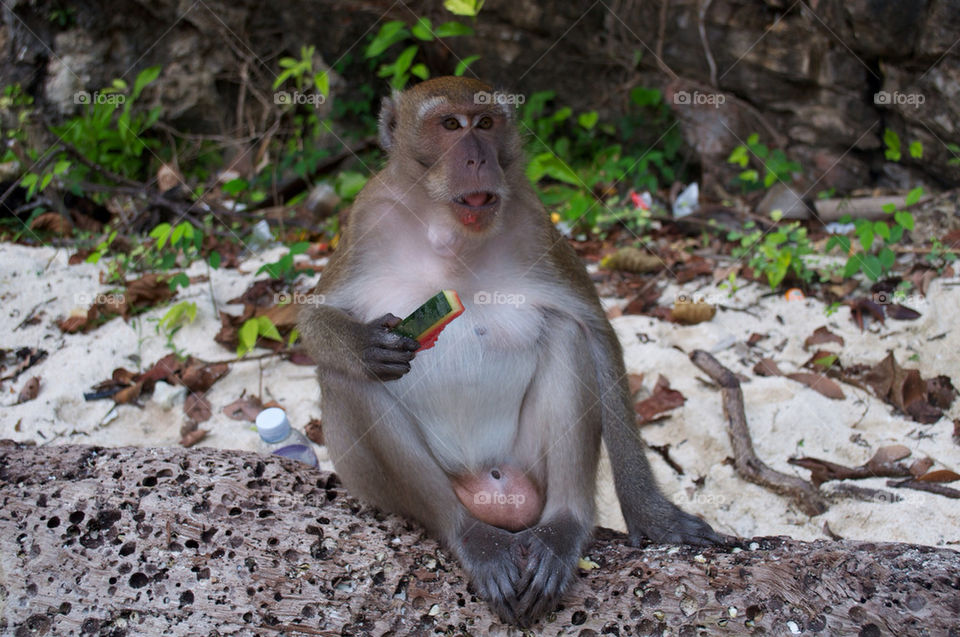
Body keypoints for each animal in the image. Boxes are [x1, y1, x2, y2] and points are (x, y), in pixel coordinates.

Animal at [299, 76, 720, 626]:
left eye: (485, 123)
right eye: (450, 125)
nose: (477, 157)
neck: (451, 234)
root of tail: (488, 485)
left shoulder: (533, 219)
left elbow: (596, 332)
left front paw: (652, 514)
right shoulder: (367, 216)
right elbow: (313, 320)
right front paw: (365, 344)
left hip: (525, 466)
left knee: (567, 336)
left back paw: (563, 528)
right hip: (382, 487)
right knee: (347, 378)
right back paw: (470, 535)